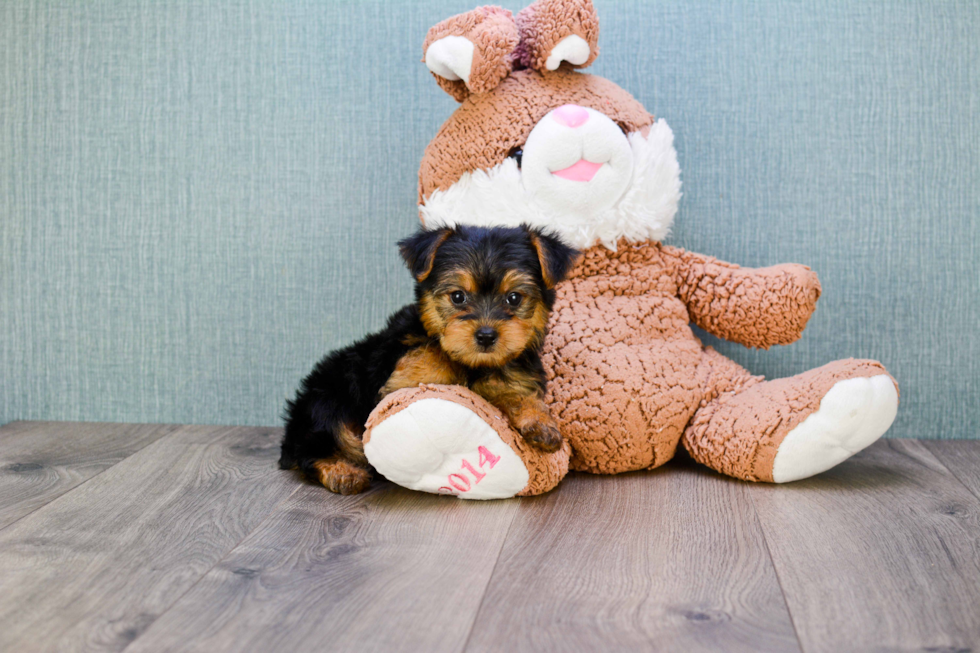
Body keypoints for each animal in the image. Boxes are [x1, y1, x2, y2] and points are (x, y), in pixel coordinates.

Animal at [276, 224, 580, 494]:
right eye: (458, 296)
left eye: (514, 298)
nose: (485, 336)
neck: (472, 364)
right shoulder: (401, 379)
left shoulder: (514, 375)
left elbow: (518, 395)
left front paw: (541, 424)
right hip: (327, 401)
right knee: (315, 447)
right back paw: (343, 472)